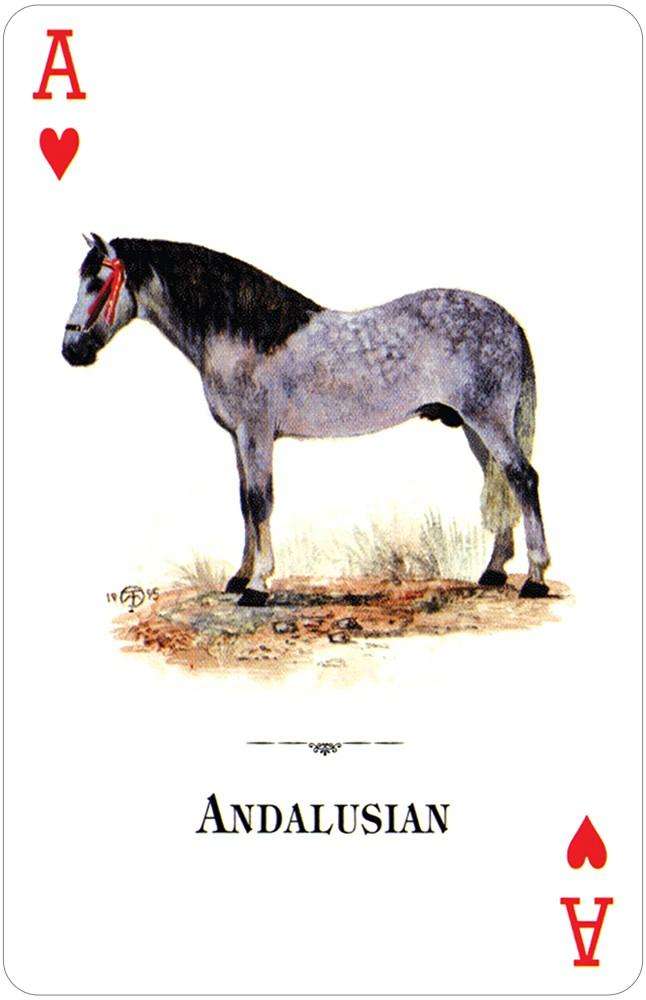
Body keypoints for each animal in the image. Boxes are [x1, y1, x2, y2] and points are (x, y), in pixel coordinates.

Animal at [62, 233, 550, 606]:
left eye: (98, 281)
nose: (72, 350)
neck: (244, 334)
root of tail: (509, 323)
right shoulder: (239, 438)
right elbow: (244, 502)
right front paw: (240, 577)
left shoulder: (256, 433)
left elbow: (260, 501)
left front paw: (258, 586)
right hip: (474, 428)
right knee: (502, 481)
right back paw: (493, 572)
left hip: (488, 421)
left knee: (523, 479)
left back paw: (536, 578)